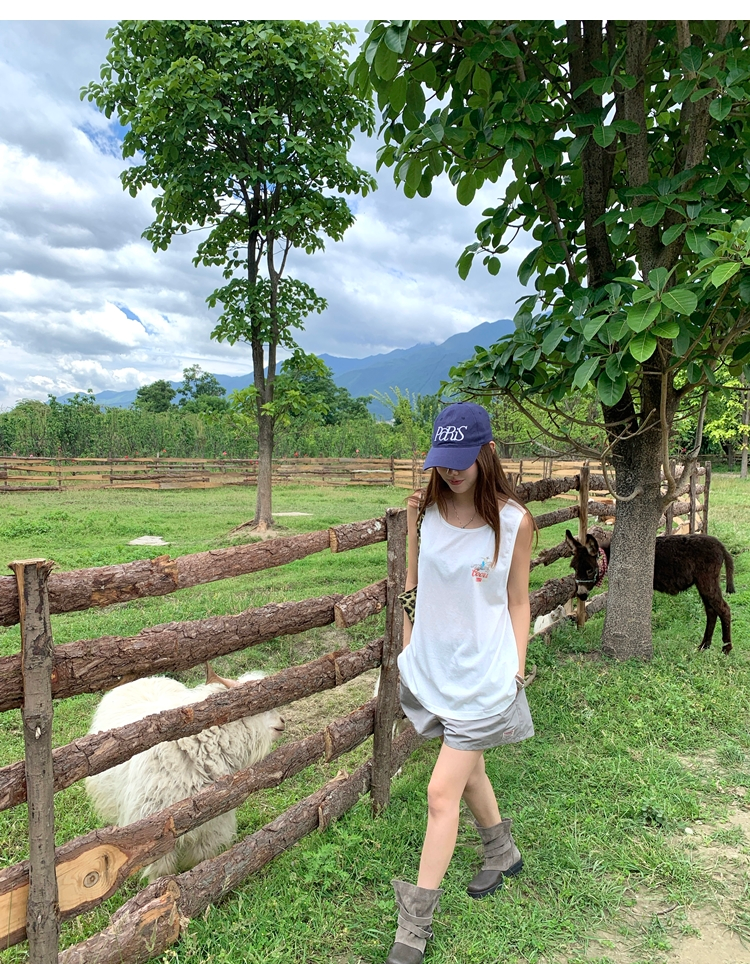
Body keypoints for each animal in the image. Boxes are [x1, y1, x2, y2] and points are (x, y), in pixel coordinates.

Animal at [85, 664, 285, 882]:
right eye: (262, 704)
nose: (283, 721)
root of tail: (146, 678)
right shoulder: (153, 835)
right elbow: (162, 872)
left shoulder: (211, 827)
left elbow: (201, 861)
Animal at [565, 529, 736, 653]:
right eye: (574, 568)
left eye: (589, 570)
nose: (581, 595)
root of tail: (721, 546)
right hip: (703, 582)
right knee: (711, 611)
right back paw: (704, 646)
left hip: (707, 579)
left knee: (724, 609)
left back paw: (726, 649)